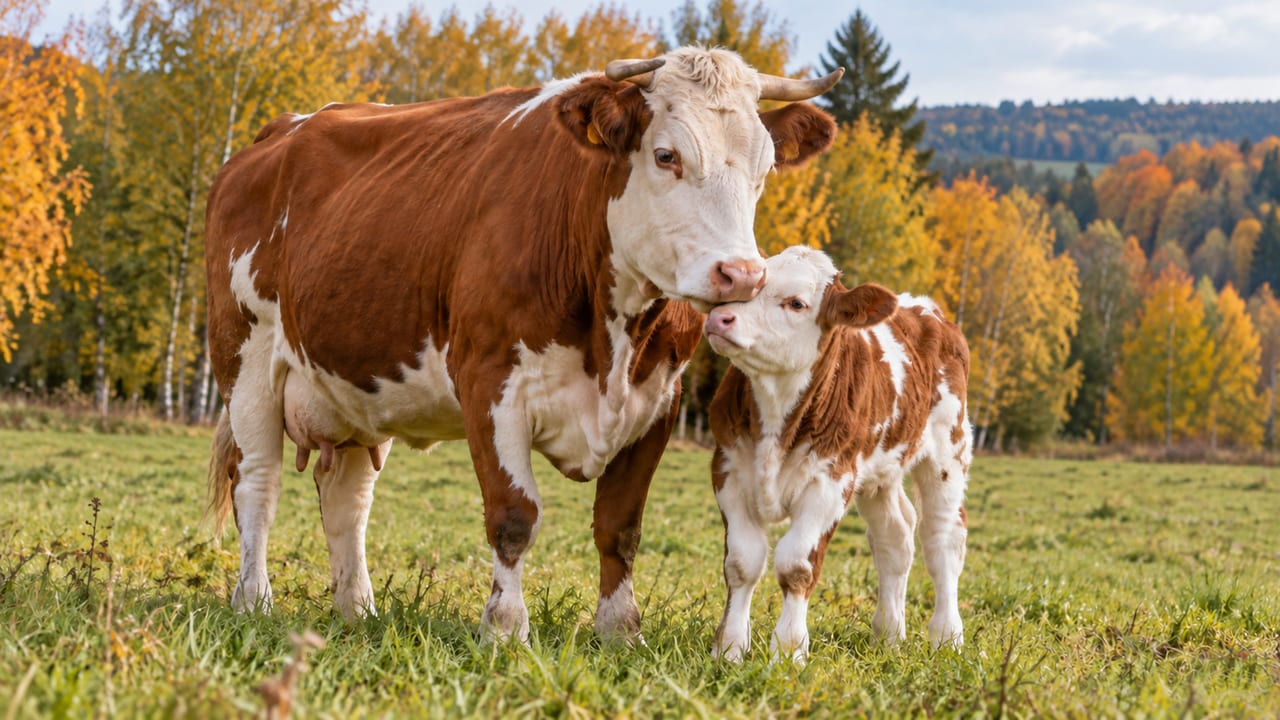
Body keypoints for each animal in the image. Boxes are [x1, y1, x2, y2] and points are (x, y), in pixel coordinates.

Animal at [203, 47, 842, 643]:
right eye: (667, 155)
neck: (609, 342)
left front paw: (620, 629)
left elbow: (620, 526)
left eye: (764, 168)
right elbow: (514, 516)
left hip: (352, 383)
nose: (743, 274)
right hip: (246, 359)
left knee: (347, 500)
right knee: (258, 483)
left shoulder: (659, 400)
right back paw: (253, 600)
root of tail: (279, 131)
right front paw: (505, 628)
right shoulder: (489, 382)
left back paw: (356, 610)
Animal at [703, 246, 971, 663]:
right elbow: (742, 562)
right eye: (752, 282)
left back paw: (947, 636)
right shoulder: (728, 468)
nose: (719, 317)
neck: (777, 415)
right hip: (880, 473)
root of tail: (925, 307)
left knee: (943, 539)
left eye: (796, 303)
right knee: (895, 537)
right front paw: (728, 650)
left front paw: (788, 652)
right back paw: (889, 635)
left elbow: (796, 565)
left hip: (948, 452)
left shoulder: (830, 482)